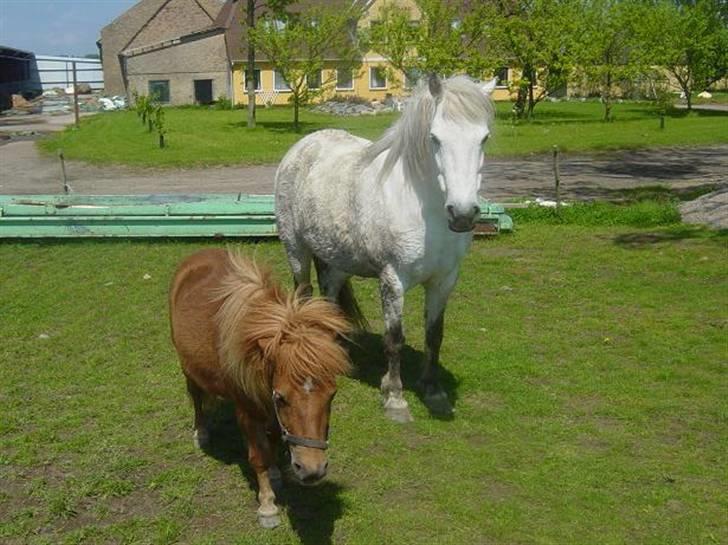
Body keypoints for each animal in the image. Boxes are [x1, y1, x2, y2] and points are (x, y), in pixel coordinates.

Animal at [171, 250, 352, 528]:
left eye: (332, 394)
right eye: (282, 398)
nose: (312, 471)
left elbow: (274, 440)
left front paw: (276, 472)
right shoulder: (247, 413)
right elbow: (258, 456)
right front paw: (267, 506)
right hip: (188, 369)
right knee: (197, 398)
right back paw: (200, 433)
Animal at [276, 73, 498, 420]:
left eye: (484, 138)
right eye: (435, 138)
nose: (462, 214)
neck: (424, 209)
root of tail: (302, 146)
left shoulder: (444, 281)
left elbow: (434, 335)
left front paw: (433, 390)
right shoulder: (393, 279)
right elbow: (394, 338)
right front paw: (394, 397)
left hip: (335, 261)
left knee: (328, 301)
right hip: (296, 251)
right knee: (304, 294)